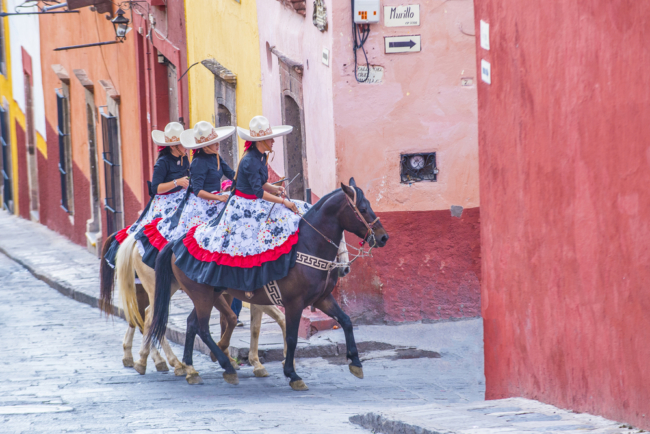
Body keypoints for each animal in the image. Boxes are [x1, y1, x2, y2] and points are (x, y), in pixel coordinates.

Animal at [147, 179, 388, 390]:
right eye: (363, 208)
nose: (383, 237)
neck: (308, 245)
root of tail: (176, 242)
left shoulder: (321, 299)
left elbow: (346, 321)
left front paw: (355, 362)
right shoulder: (294, 303)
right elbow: (291, 337)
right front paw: (292, 374)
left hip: (209, 295)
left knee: (191, 324)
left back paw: (191, 369)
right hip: (202, 296)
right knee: (203, 328)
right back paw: (225, 367)